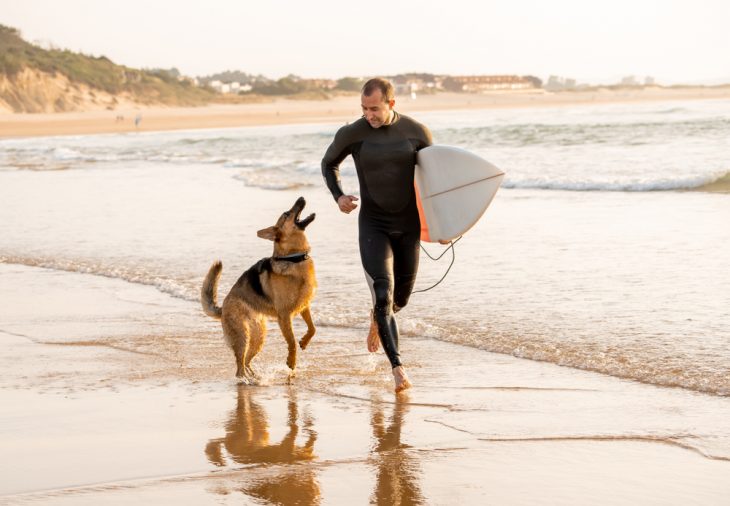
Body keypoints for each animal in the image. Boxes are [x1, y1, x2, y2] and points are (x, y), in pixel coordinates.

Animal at [200, 197, 314, 380]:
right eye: (286, 214)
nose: (301, 198)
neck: (293, 258)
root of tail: (223, 307)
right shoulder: (284, 316)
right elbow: (291, 341)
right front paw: (291, 361)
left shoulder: (304, 306)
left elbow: (312, 328)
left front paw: (304, 341)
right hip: (242, 337)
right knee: (239, 367)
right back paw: (247, 380)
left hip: (259, 337)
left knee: (246, 361)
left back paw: (254, 377)